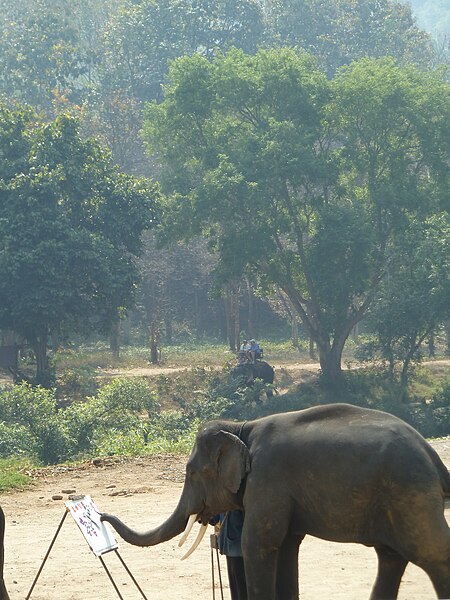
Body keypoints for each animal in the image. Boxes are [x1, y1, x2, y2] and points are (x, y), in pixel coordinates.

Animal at [100, 404, 450, 600]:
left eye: (191, 471)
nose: (101, 515)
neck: (243, 426)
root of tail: (431, 455)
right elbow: (287, 545)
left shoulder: (268, 479)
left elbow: (258, 544)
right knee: (390, 558)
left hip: (410, 495)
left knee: (432, 554)